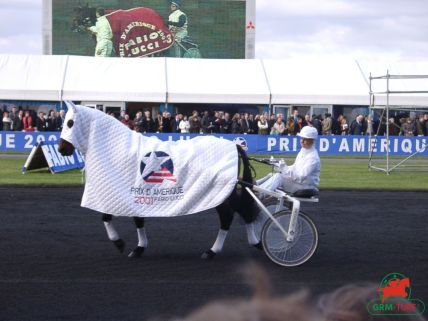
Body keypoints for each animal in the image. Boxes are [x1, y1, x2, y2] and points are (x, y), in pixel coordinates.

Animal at [58, 102, 262, 258]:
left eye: (70, 123)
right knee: (239, 212)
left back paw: (215, 250)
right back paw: (253, 243)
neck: (119, 148)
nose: (61, 150)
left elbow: (107, 217)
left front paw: (120, 243)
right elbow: (135, 219)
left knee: (230, 215)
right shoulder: (132, 193)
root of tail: (234, 146)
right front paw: (138, 248)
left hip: (221, 192)